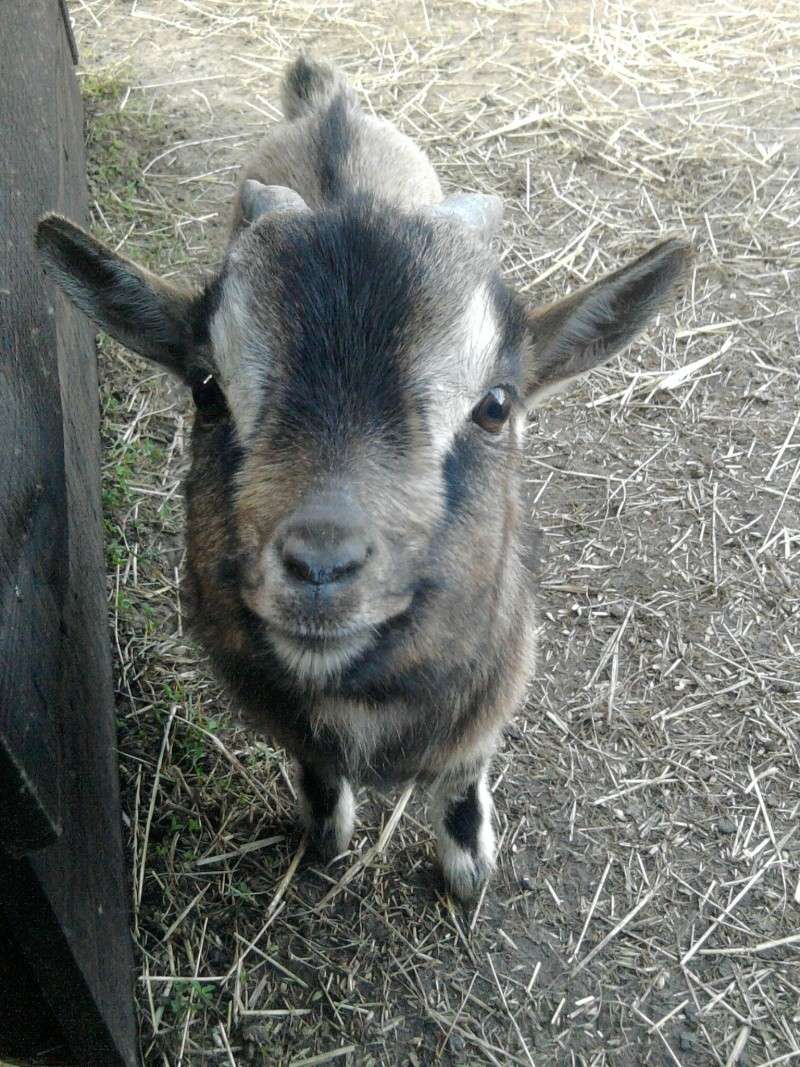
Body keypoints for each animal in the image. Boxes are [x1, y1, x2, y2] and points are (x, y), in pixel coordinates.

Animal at [36, 54, 691, 896]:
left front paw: (467, 863)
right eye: (206, 389)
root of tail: (330, 109)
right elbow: (315, 764)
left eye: (495, 405)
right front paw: (324, 831)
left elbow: (465, 768)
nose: (321, 564)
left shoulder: (494, 684)